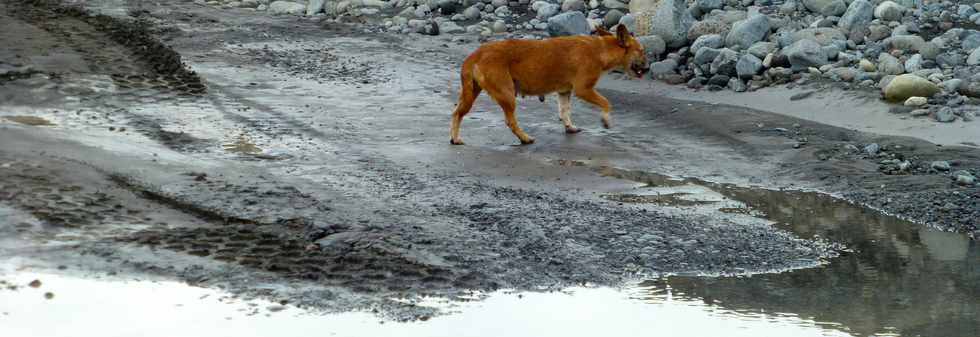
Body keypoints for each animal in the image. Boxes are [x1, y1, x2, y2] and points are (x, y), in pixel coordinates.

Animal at [448, 24, 648, 144]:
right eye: (641, 51)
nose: (647, 69)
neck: (601, 50)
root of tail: (476, 54)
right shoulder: (583, 89)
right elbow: (607, 103)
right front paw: (606, 120)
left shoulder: (565, 92)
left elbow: (565, 112)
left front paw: (569, 127)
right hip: (506, 94)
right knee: (510, 121)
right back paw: (525, 138)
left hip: (471, 93)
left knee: (457, 113)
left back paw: (454, 139)